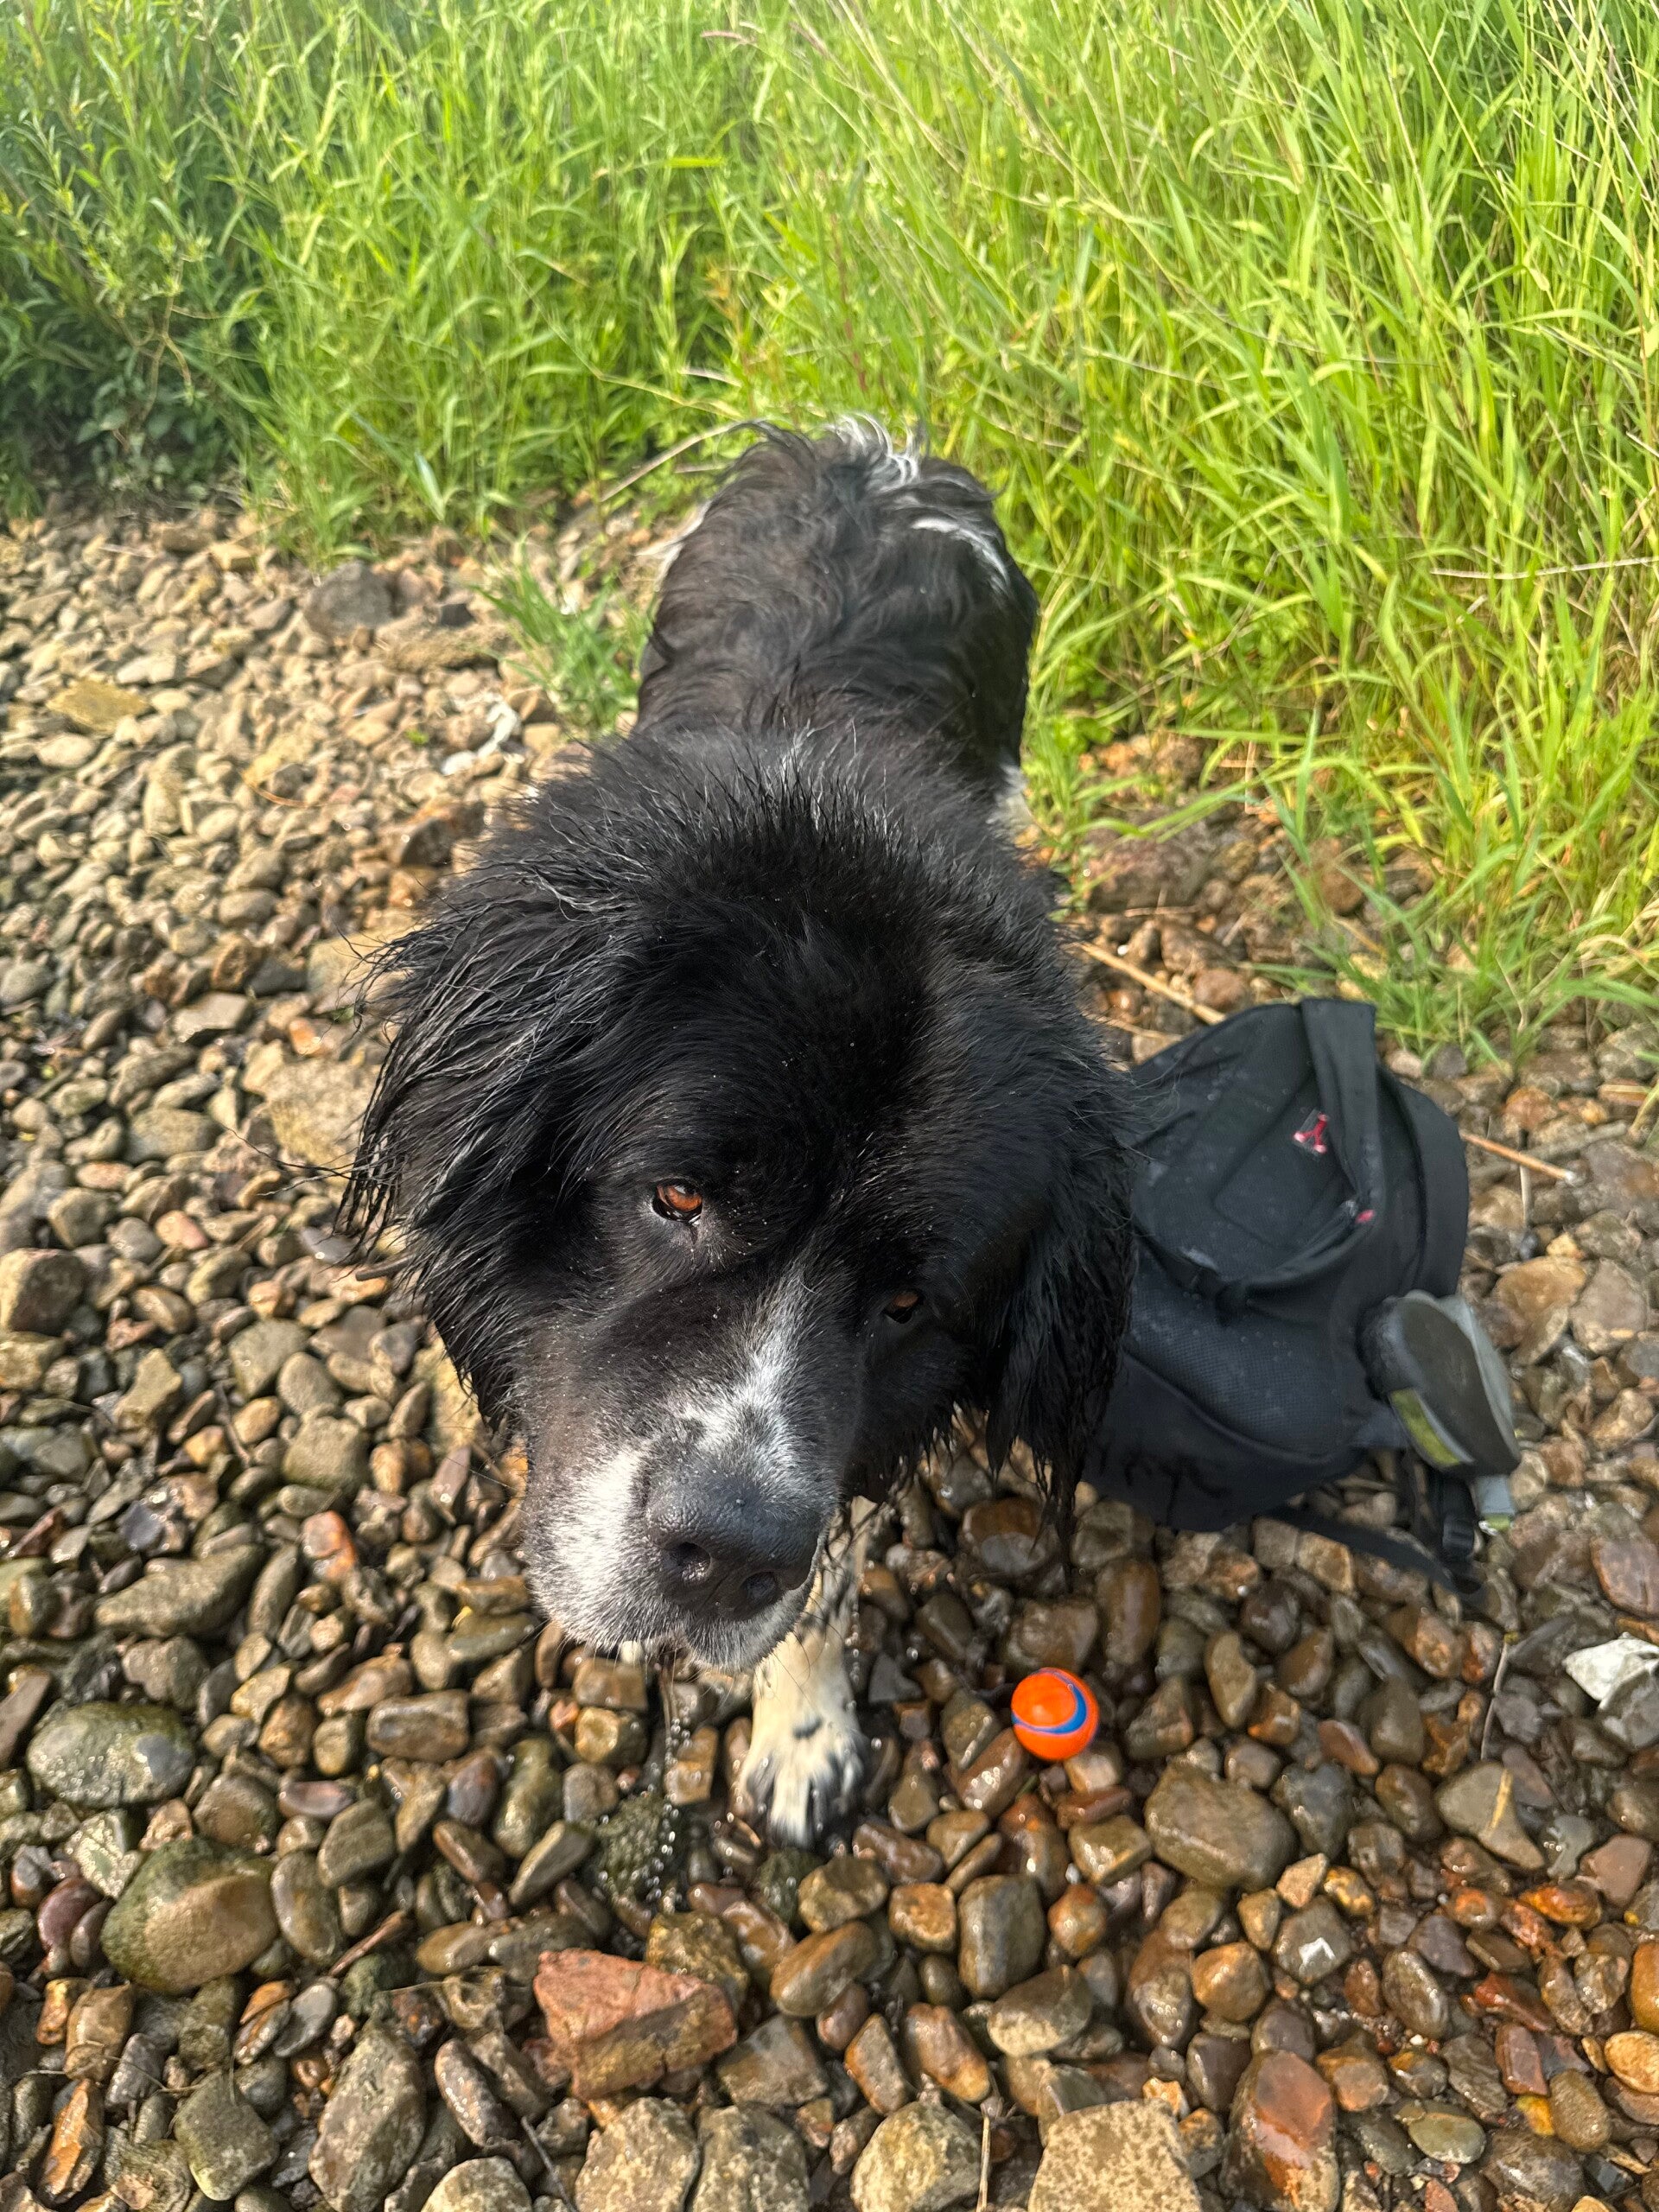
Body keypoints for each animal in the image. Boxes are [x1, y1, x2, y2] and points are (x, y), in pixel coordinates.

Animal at [344, 423, 1134, 1842]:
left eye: (909, 1307)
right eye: (676, 1198)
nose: (724, 1555)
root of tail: (870, 449)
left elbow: (827, 1575)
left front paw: (805, 1736)